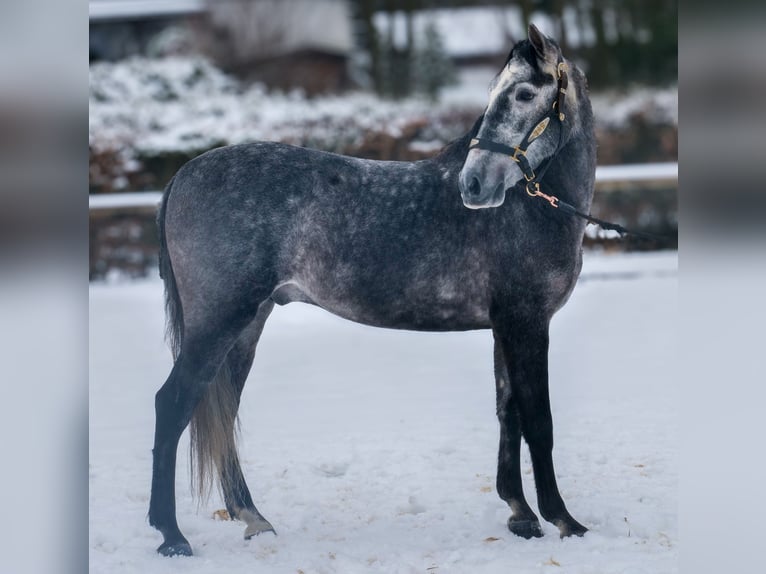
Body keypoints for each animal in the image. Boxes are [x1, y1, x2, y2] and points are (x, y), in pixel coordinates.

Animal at [149, 24, 596, 557]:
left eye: (524, 93)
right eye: (497, 93)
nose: (473, 184)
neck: (531, 208)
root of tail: (182, 175)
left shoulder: (506, 327)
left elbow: (508, 413)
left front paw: (521, 515)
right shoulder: (526, 324)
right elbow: (538, 423)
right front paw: (565, 520)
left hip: (245, 327)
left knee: (221, 412)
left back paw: (252, 518)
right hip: (218, 322)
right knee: (172, 404)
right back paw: (171, 536)